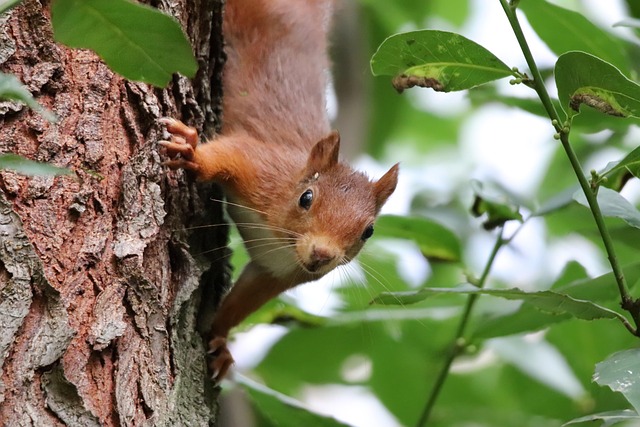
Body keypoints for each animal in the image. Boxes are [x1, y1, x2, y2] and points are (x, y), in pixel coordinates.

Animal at [159, 0, 399, 383]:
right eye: (306, 197)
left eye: (369, 231)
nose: (322, 255)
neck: (283, 241)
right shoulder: (261, 167)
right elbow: (227, 154)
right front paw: (193, 152)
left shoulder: (273, 273)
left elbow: (243, 301)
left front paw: (220, 339)